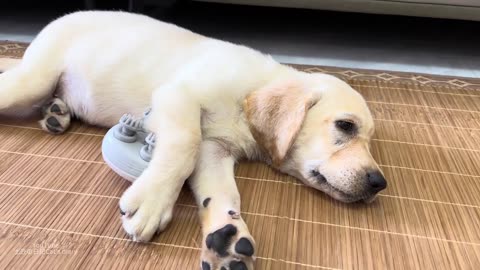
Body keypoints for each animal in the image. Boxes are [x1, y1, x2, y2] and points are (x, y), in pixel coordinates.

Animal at [0, 11, 386, 270]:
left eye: (369, 139)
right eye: (345, 126)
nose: (379, 183)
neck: (248, 94)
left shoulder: (215, 150)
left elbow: (223, 192)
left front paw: (229, 236)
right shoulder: (176, 97)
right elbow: (184, 144)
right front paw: (152, 201)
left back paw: (57, 112)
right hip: (33, 79)